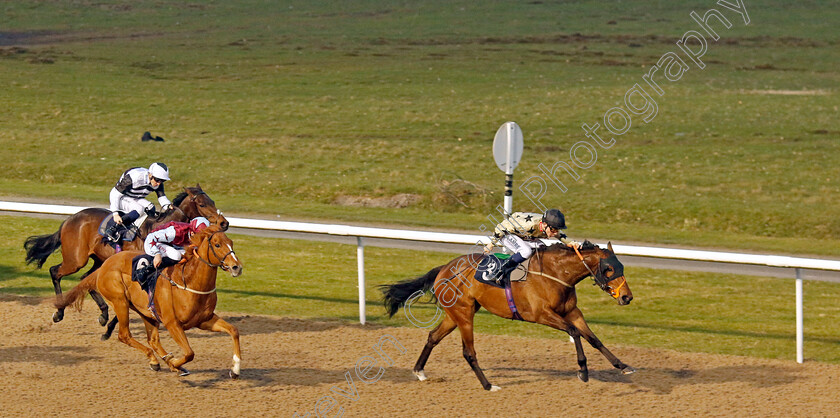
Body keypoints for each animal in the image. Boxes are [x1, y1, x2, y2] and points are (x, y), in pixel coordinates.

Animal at [24, 185, 228, 324]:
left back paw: (103, 313)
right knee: (55, 272)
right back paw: (59, 311)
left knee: (86, 279)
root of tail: (69, 219)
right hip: (75, 260)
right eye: (202, 204)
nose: (224, 223)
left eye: (213, 202)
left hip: (99, 259)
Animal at [55, 225, 243, 378]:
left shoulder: (204, 320)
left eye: (231, 242)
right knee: (125, 335)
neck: (189, 282)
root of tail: (105, 265)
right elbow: (190, 353)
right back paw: (159, 360)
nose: (237, 267)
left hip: (146, 311)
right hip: (120, 302)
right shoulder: (172, 323)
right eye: (217, 245)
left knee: (152, 340)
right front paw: (174, 363)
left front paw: (235, 369)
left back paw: (162, 361)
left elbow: (233, 331)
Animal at [384, 242, 632, 392]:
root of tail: (445, 268)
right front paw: (583, 371)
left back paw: (419, 371)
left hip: (456, 314)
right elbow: (574, 332)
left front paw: (622, 365)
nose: (627, 297)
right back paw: (488, 385)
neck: (555, 274)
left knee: (433, 337)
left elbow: (593, 339)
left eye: (621, 266)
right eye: (609, 269)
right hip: (464, 314)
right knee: (468, 352)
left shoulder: (572, 311)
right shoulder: (542, 314)